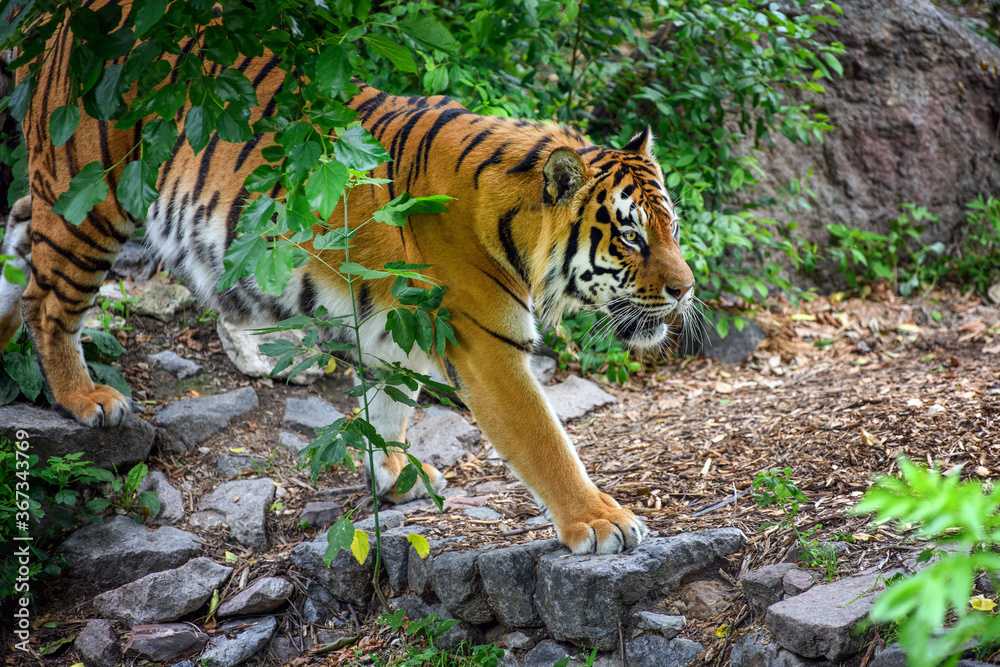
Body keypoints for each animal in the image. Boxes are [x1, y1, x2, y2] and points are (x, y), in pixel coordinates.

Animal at [0, 6, 700, 560]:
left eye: (670, 227)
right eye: (631, 237)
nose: (687, 290)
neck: (515, 226)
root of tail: (65, 22)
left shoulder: (398, 322)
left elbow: (388, 403)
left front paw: (392, 474)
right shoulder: (488, 347)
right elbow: (544, 439)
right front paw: (600, 521)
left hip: (92, 211)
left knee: (16, 243)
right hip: (91, 200)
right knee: (47, 300)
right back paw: (86, 398)